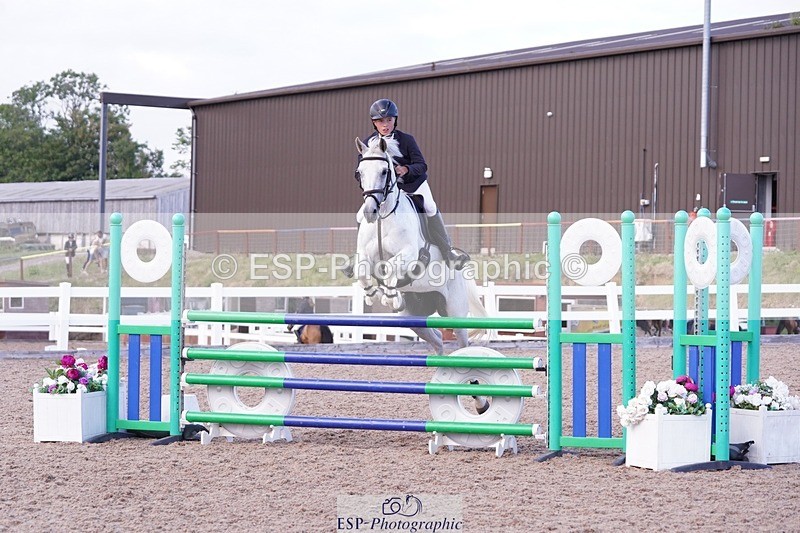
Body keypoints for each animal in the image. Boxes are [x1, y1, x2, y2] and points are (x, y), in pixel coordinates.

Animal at [353, 136, 487, 354]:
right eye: (360, 173)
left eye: (384, 171)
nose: (370, 212)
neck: (384, 218)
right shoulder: (364, 255)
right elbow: (362, 272)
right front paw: (373, 295)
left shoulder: (409, 255)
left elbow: (391, 267)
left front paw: (388, 296)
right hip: (414, 318)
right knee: (438, 339)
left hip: (455, 310)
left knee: (462, 341)